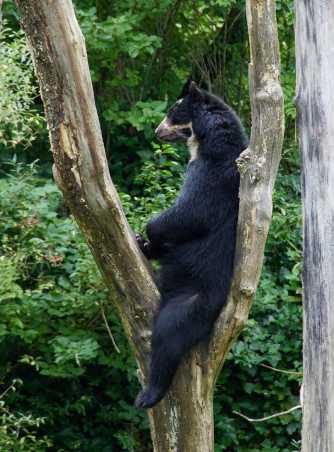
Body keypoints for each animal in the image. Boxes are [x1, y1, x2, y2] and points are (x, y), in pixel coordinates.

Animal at [135, 79, 248, 408]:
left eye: (173, 112)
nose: (157, 130)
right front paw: (144, 242)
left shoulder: (211, 174)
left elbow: (189, 213)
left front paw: (149, 232)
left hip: (191, 302)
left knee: (167, 337)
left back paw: (149, 394)